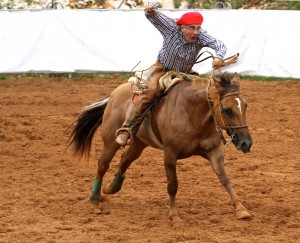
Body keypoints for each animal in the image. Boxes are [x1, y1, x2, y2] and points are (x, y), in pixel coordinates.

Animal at [67, 70, 253, 226]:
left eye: (245, 105)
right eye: (227, 109)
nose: (247, 143)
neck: (192, 112)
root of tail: (115, 93)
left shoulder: (214, 151)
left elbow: (225, 178)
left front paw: (241, 209)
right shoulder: (170, 153)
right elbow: (172, 185)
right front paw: (174, 216)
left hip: (139, 143)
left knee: (125, 159)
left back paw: (111, 188)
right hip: (110, 140)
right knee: (103, 164)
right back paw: (94, 198)